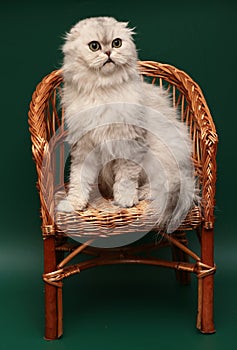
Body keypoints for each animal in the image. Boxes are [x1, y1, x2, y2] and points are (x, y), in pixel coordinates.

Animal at [57, 16, 198, 232]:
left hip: (160, 156)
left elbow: (125, 180)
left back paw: (142, 193)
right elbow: (78, 180)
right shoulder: (84, 147)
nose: (108, 53)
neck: (104, 91)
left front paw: (124, 200)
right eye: (94, 46)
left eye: (117, 43)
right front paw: (74, 204)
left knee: (164, 186)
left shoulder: (130, 143)